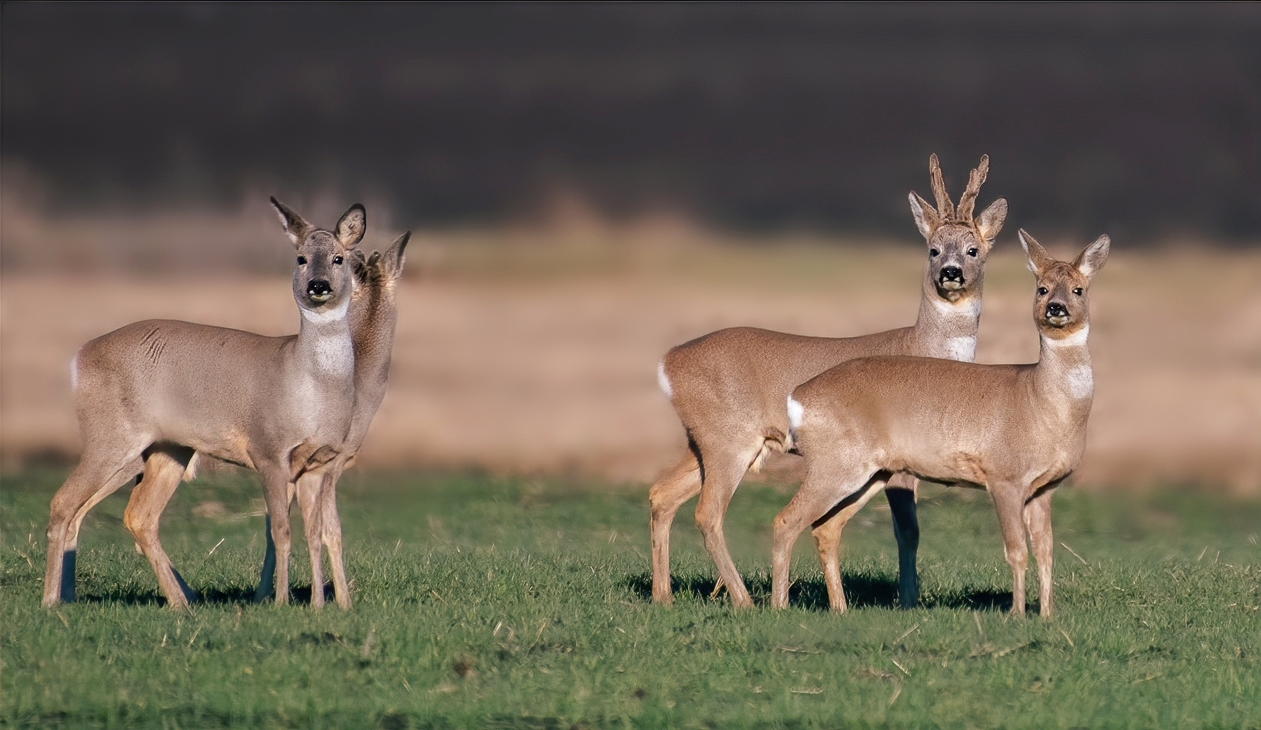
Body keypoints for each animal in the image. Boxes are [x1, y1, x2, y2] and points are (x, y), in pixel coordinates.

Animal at [43, 196, 365, 607]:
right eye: (301, 258)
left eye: (339, 258)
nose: (318, 285)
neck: (308, 384)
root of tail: (80, 356)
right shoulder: (268, 450)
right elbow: (280, 531)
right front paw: (280, 602)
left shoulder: (320, 462)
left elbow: (321, 532)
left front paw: (332, 605)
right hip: (111, 435)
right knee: (64, 502)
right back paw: (51, 601)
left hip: (163, 449)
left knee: (133, 514)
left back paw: (174, 603)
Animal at [655, 155, 1008, 610]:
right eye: (933, 248)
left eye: (973, 249)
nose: (950, 272)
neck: (922, 345)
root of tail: (669, 361)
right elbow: (908, 530)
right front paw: (907, 601)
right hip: (727, 438)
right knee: (707, 512)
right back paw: (745, 600)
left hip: (704, 441)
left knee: (661, 494)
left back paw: (663, 596)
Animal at [776, 229, 1114, 617]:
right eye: (1041, 288)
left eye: (1079, 289)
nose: (1055, 307)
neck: (1040, 401)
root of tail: (798, 397)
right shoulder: (1004, 476)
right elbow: (1016, 551)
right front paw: (1016, 614)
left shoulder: (1043, 489)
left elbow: (1046, 553)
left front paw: (1046, 616)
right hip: (835, 462)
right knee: (785, 520)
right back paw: (777, 606)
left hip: (870, 472)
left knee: (825, 528)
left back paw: (840, 609)